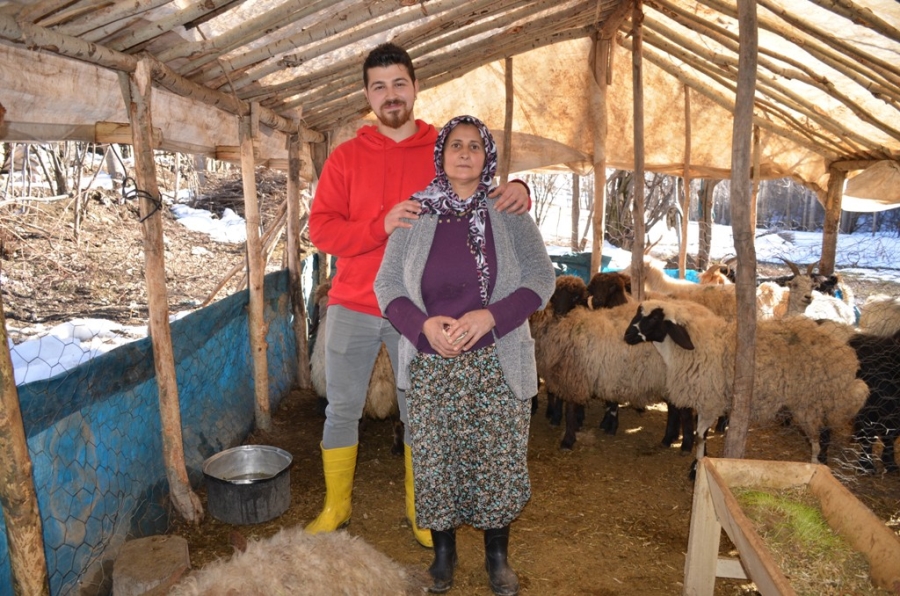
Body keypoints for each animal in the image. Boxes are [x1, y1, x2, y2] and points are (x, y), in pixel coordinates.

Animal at [624, 300, 868, 472]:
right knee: (825, 432)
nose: (626, 336)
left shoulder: (709, 400)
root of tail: (847, 356)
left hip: (810, 402)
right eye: (637, 313)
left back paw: (817, 463)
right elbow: (701, 434)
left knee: (819, 436)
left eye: (653, 319)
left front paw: (696, 467)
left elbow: (701, 435)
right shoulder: (707, 401)